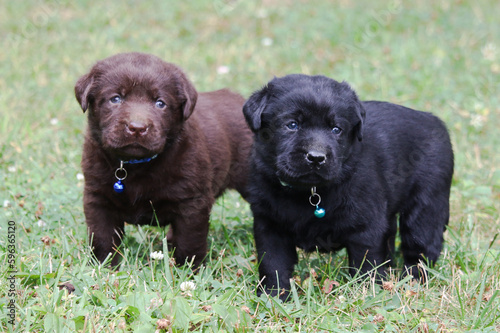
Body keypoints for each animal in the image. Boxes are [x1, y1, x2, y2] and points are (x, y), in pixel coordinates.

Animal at [244, 74, 456, 298]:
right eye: (292, 125)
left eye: (336, 129)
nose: (316, 157)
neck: (310, 192)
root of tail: (435, 122)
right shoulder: (269, 225)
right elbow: (273, 263)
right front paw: (272, 295)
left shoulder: (367, 227)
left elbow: (367, 265)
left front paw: (367, 294)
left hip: (427, 205)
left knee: (421, 248)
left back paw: (413, 283)